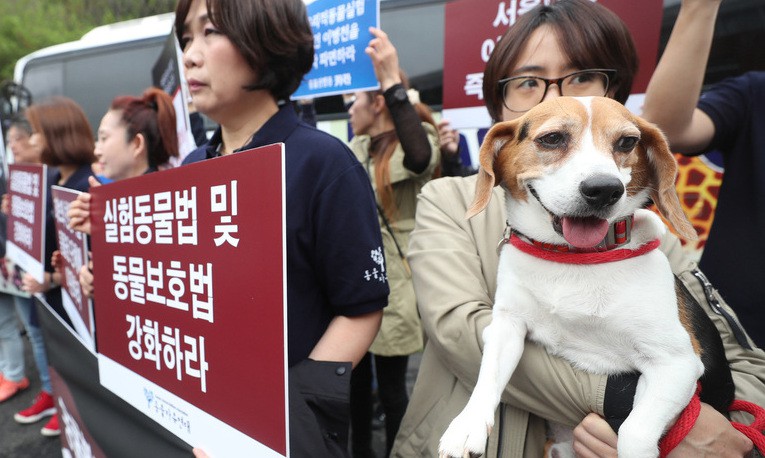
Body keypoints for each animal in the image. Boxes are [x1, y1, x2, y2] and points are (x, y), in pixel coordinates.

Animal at [442, 96, 736, 458]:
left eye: (627, 142)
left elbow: (634, 431)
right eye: (552, 138)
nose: (604, 189)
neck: (575, 259)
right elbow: (488, 376)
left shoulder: (676, 363)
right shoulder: (506, 324)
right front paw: (466, 426)